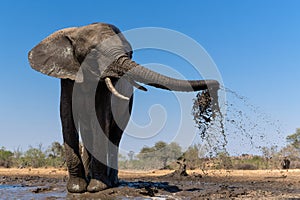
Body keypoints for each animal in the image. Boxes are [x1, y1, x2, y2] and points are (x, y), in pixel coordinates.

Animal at [27, 21, 218, 192]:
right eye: (93, 53)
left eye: (129, 52)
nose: (215, 85)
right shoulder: (67, 79)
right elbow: (67, 117)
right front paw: (77, 189)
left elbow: (100, 118)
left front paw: (96, 188)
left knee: (115, 136)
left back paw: (111, 182)